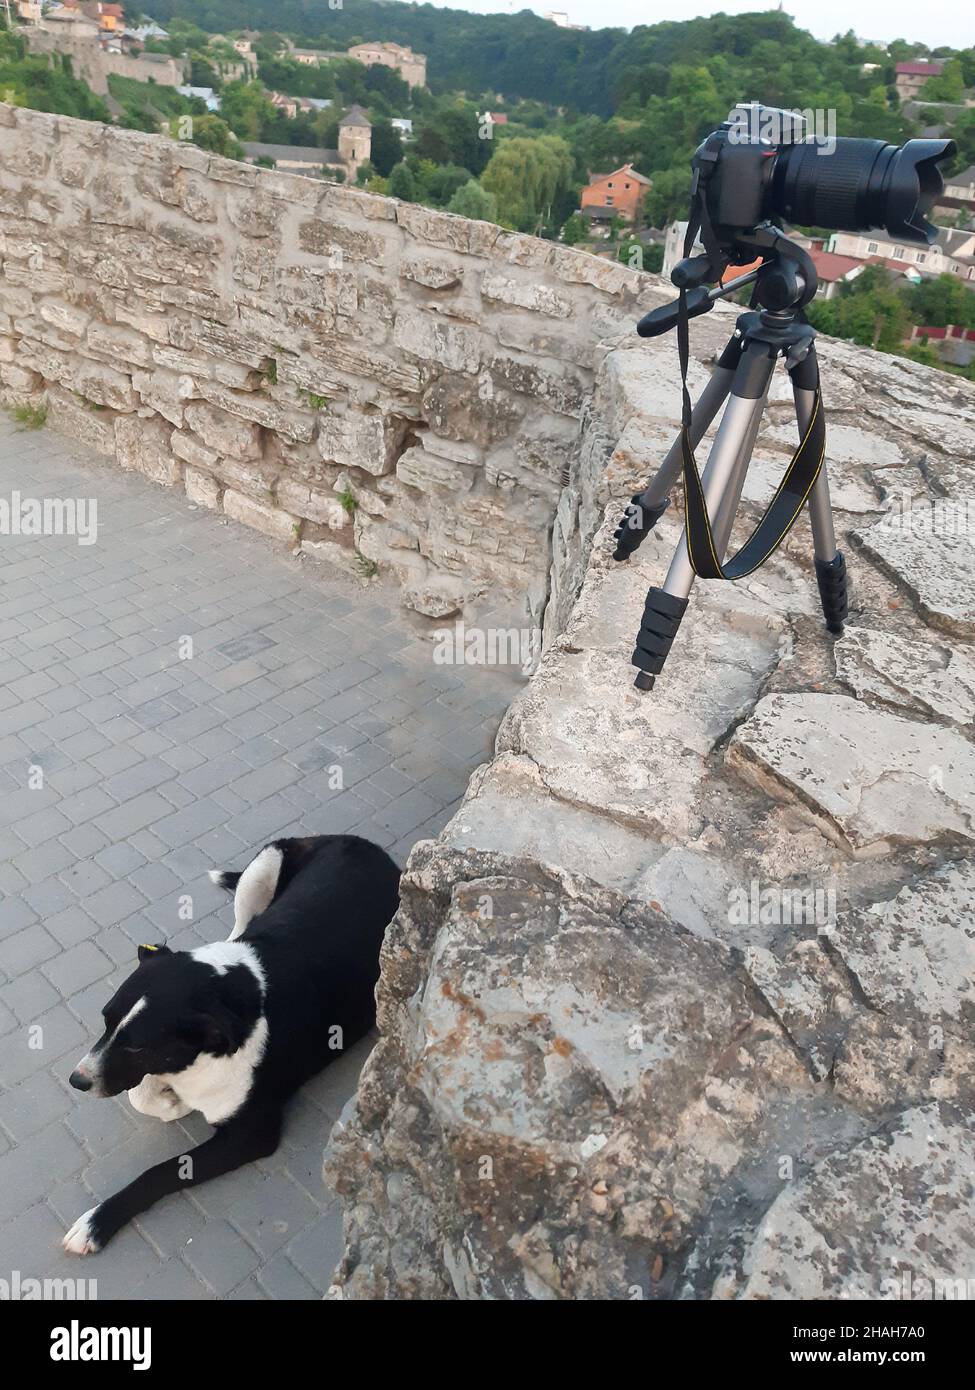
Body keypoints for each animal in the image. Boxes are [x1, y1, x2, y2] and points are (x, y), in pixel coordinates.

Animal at [62, 834, 397, 1262]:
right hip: (262, 868)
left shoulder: (248, 1135)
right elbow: (140, 1094)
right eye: (104, 1019)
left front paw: (97, 1221)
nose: (76, 1081)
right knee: (240, 924)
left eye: (138, 1048)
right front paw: (170, 1101)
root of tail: (362, 844)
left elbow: (162, 1170)